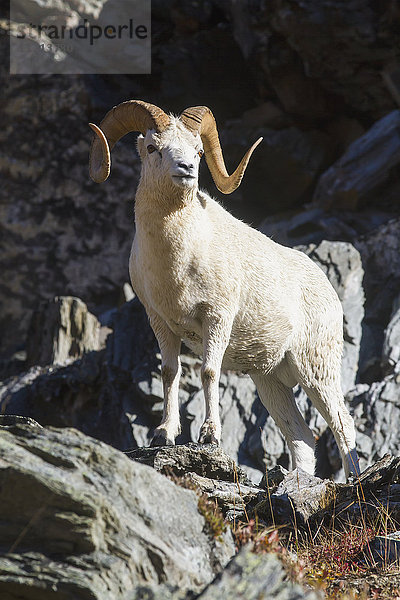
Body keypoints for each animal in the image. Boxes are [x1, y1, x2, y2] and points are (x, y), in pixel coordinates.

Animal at [89, 101, 360, 480]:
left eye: (198, 151)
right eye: (154, 148)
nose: (187, 169)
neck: (177, 262)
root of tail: (327, 291)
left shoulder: (216, 319)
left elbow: (209, 372)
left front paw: (209, 436)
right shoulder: (160, 323)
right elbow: (170, 373)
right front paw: (163, 434)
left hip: (315, 369)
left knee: (341, 423)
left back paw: (355, 481)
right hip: (271, 381)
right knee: (303, 439)